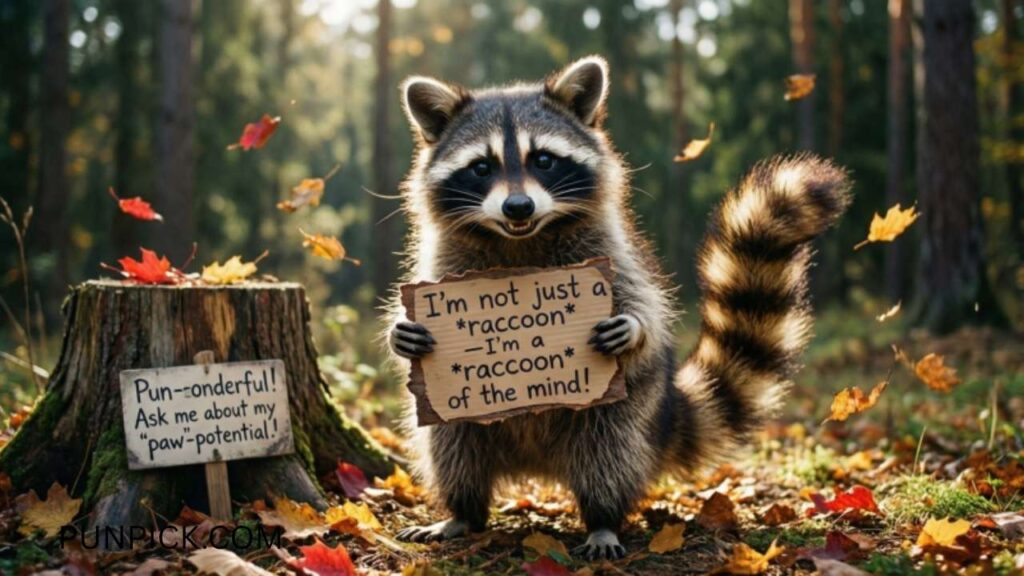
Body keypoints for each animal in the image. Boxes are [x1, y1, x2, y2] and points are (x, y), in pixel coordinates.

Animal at [386, 56, 851, 560]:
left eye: (543, 160)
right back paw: (462, 512)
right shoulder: (443, 261)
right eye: (481, 167)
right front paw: (400, 330)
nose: (518, 207)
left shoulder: (615, 250)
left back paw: (602, 519)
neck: (520, 238)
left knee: (607, 455)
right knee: (452, 446)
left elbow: (645, 303)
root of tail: (537, 465)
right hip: (458, 414)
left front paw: (634, 328)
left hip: (628, 411)